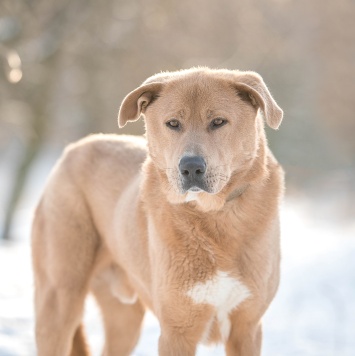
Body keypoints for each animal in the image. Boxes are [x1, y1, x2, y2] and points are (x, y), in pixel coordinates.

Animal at [32, 67, 286, 356]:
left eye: (219, 121)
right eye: (173, 123)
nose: (190, 167)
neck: (213, 216)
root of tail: (73, 149)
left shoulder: (247, 329)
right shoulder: (177, 331)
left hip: (124, 321)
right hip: (59, 301)